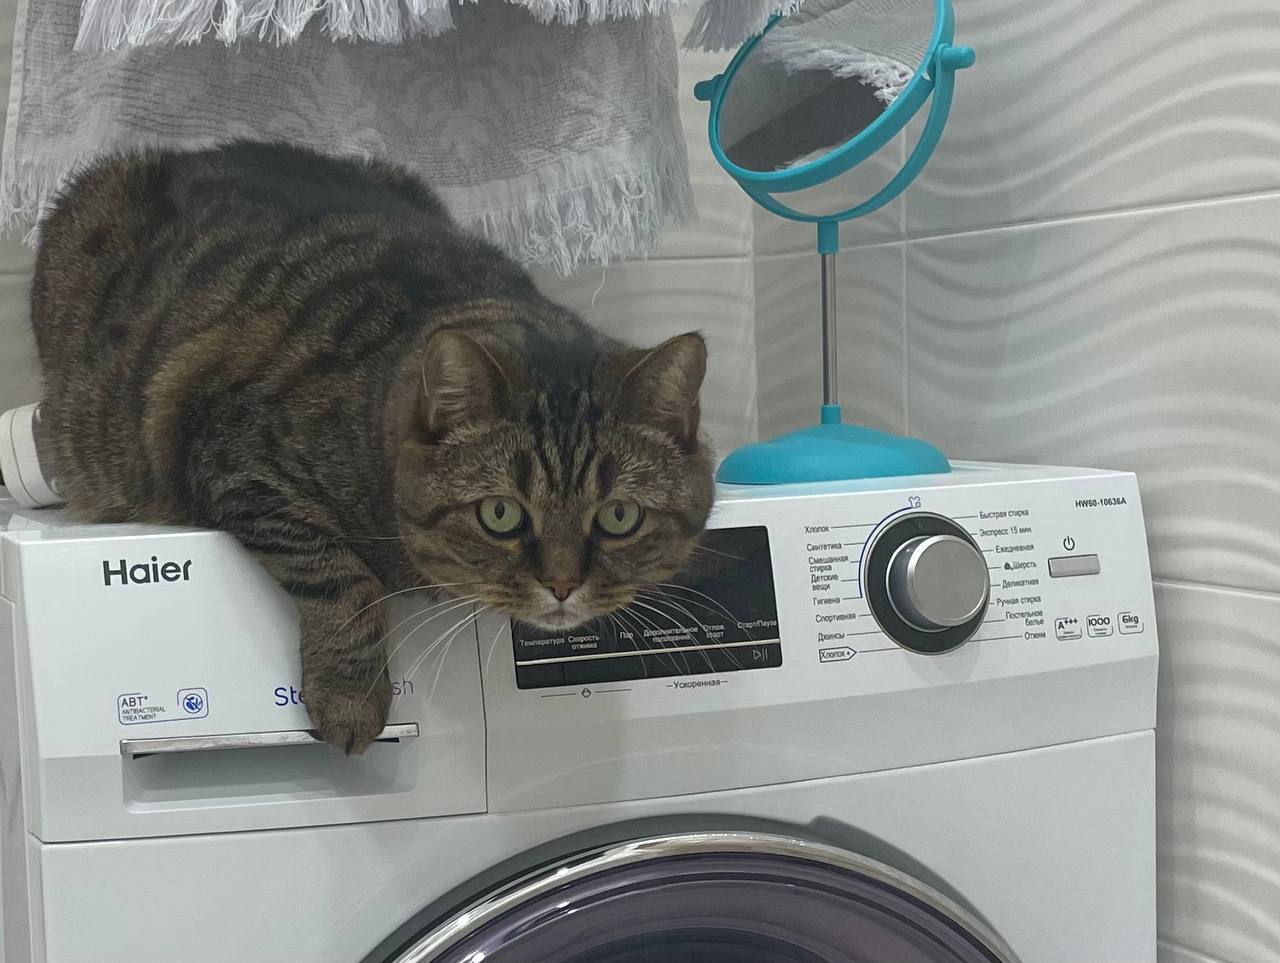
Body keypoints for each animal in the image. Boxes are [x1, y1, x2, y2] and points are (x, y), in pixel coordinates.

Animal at [30, 141, 715, 752]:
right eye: (500, 514)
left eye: (619, 517)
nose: (563, 585)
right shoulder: (234, 455)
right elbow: (341, 579)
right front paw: (350, 699)